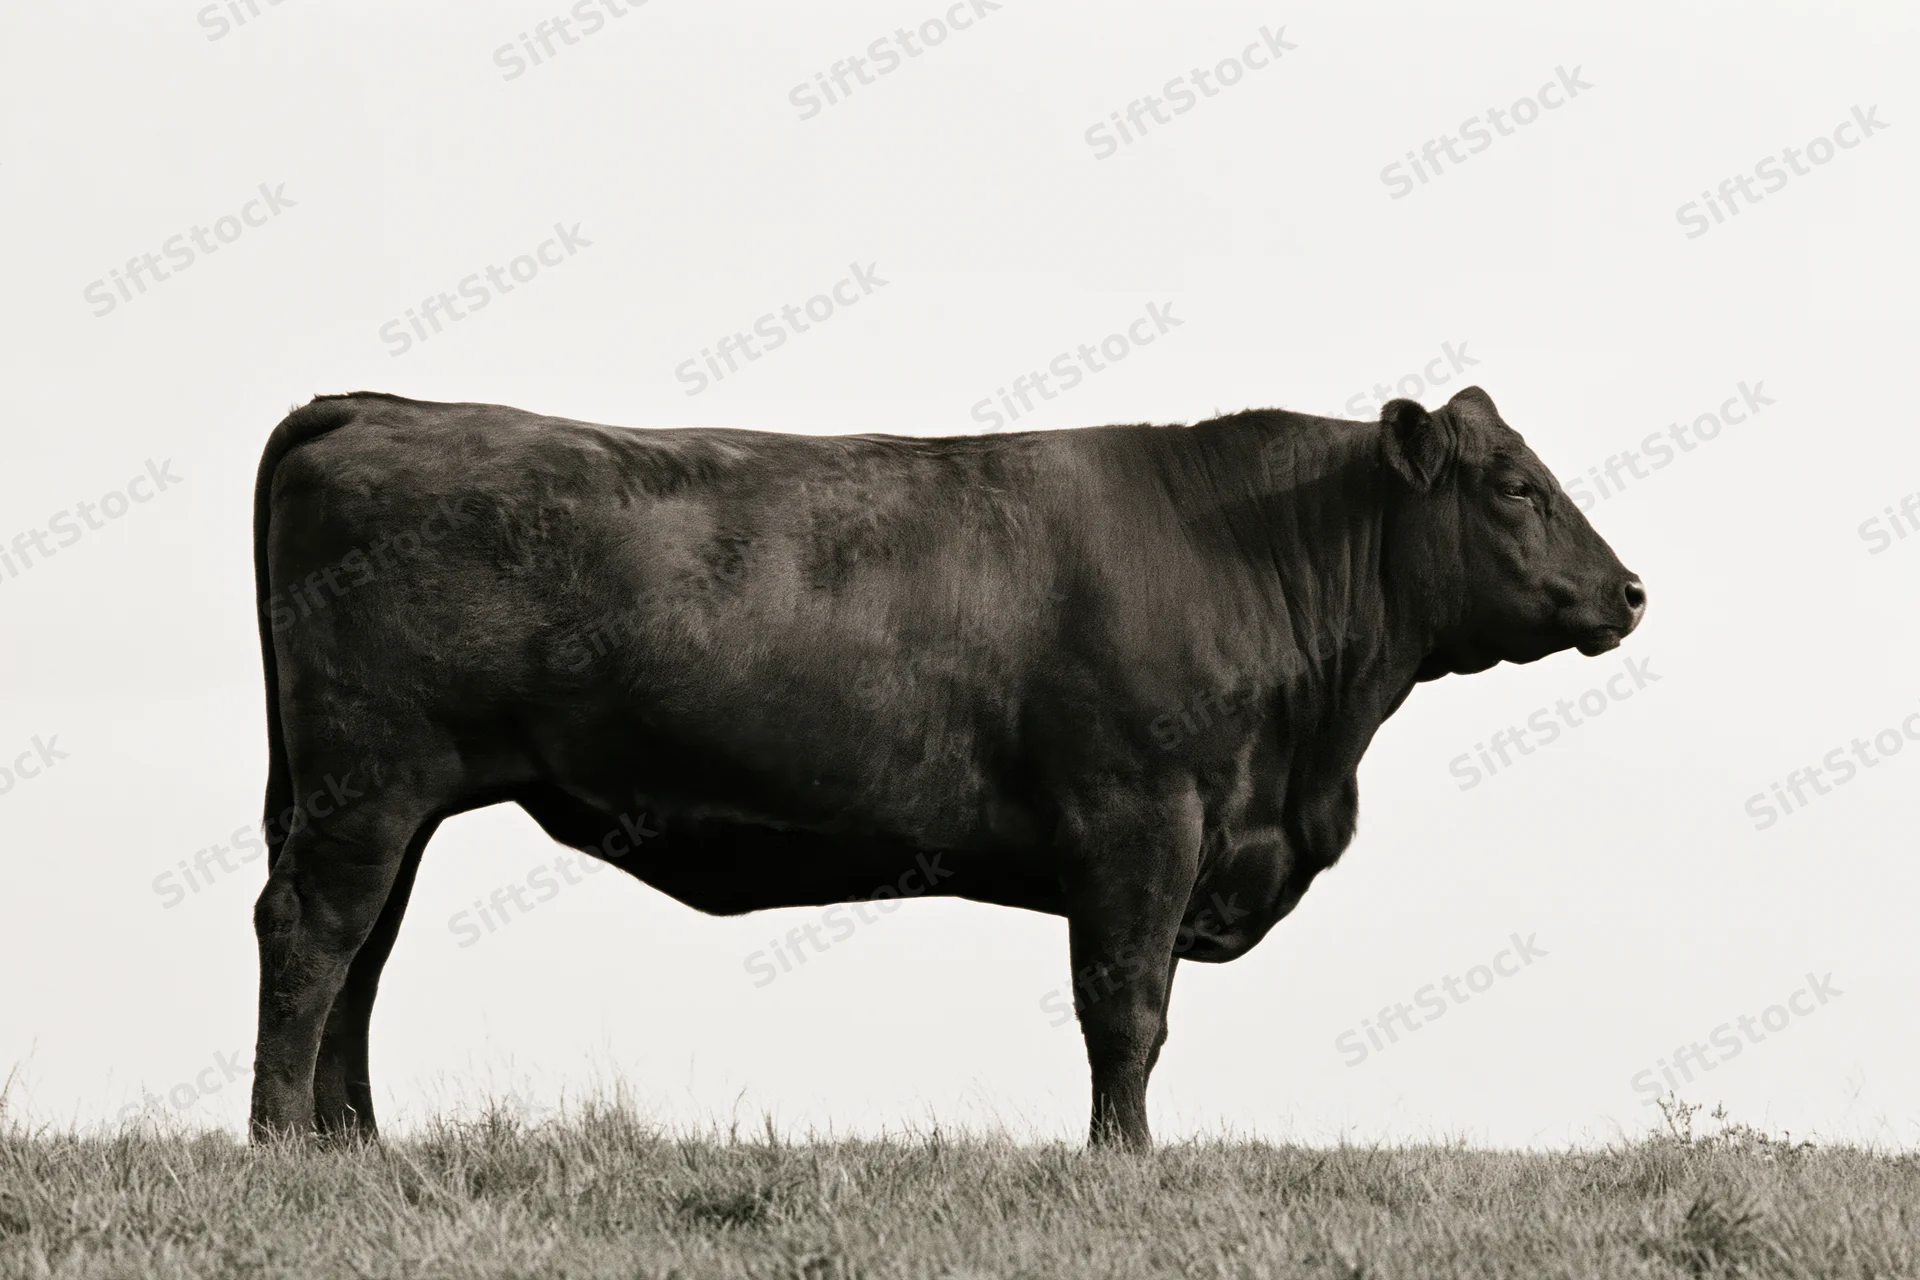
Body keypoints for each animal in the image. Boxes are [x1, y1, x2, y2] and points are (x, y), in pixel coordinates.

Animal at [247, 385, 1643, 1148]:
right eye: (1516, 487)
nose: (1628, 590)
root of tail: (370, 407)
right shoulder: (1141, 820)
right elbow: (1126, 1009)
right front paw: (1123, 1160)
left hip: (380, 796)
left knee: (363, 954)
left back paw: (351, 1142)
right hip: (370, 780)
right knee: (312, 936)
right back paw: (276, 1140)